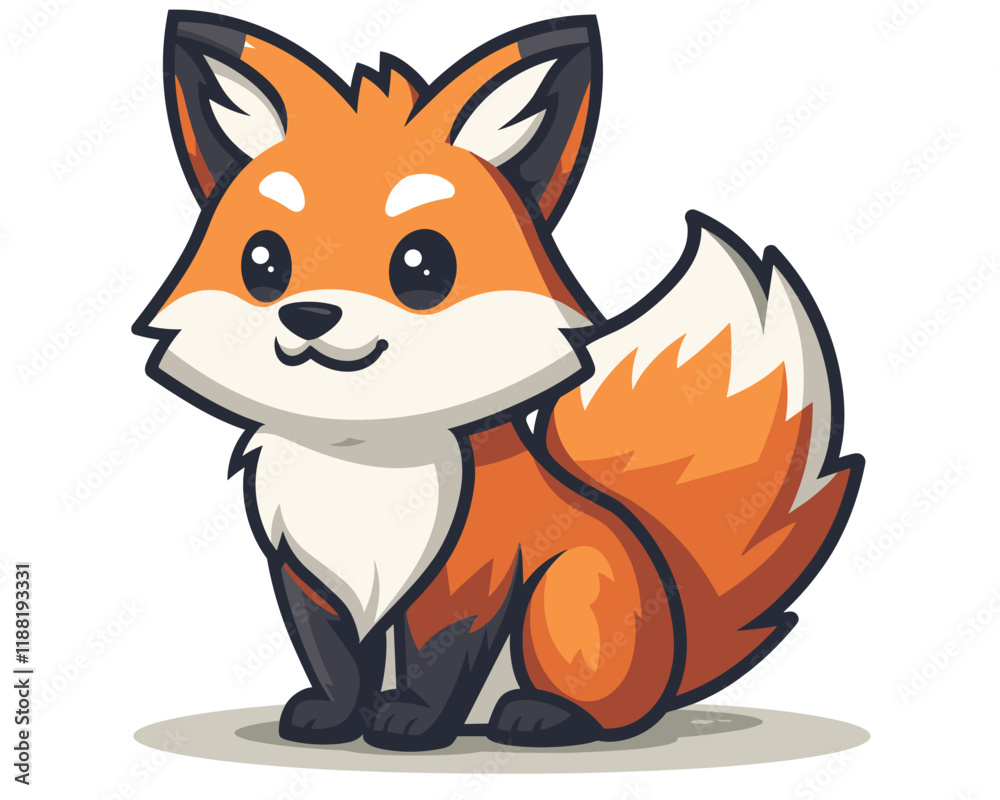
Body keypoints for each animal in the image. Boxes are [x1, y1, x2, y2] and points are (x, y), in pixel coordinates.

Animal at [134, 11, 864, 751]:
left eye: (422, 265)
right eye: (263, 262)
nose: (309, 314)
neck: (364, 454)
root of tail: (675, 658)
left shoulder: (471, 572)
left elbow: (439, 656)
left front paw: (411, 725)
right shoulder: (304, 569)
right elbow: (333, 657)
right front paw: (335, 718)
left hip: (567, 593)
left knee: (604, 711)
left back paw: (541, 717)